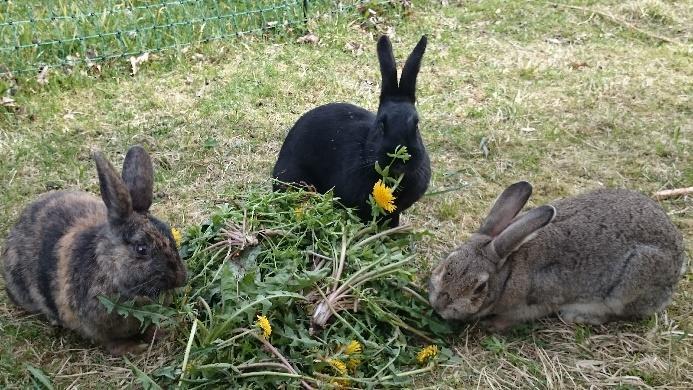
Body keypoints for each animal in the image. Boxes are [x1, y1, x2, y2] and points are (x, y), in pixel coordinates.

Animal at [0, 145, 187, 354]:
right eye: (141, 249)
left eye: (169, 234)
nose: (181, 279)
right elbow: (112, 342)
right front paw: (133, 348)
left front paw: (160, 333)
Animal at [428, 181, 688, 330]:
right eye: (447, 264)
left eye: (480, 287)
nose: (440, 304)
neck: (509, 270)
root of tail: (678, 264)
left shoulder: (542, 299)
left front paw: (492, 325)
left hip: (631, 281)